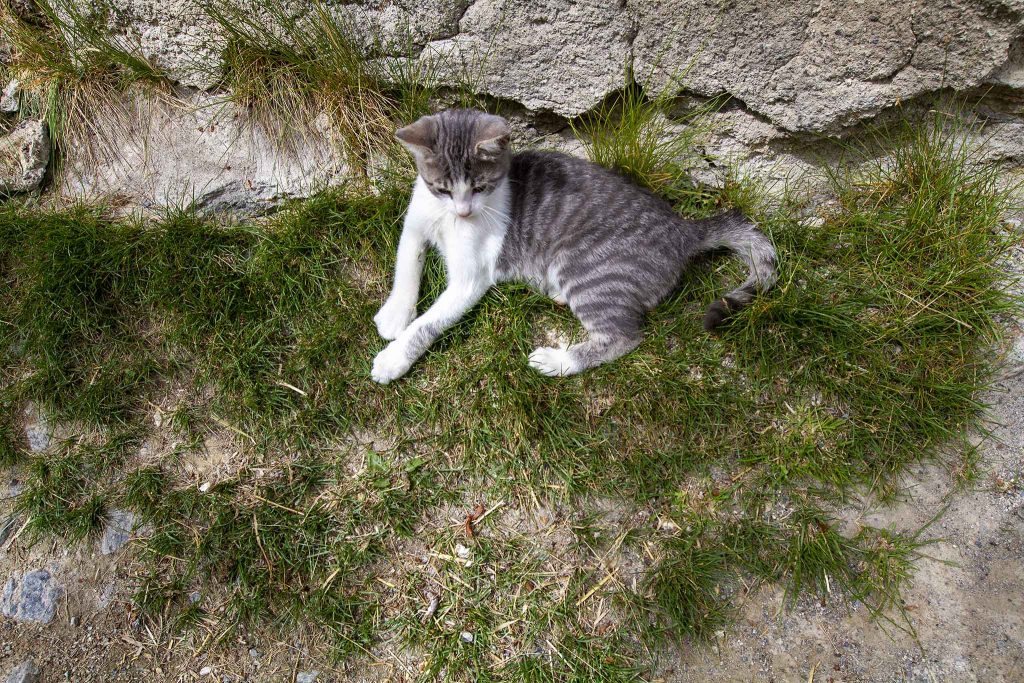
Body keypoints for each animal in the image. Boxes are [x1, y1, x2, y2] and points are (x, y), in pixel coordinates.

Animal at [372, 107, 778, 385]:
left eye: (480, 187)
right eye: (441, 188)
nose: (464, 211)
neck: (446, 218)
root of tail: (683, 230)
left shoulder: (471, 278)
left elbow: (429, 323)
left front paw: (394, 357)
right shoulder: (415, 222)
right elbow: (406, 264)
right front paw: (395, 314)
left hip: (582, 265)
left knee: (623, 336)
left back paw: (559, 361)